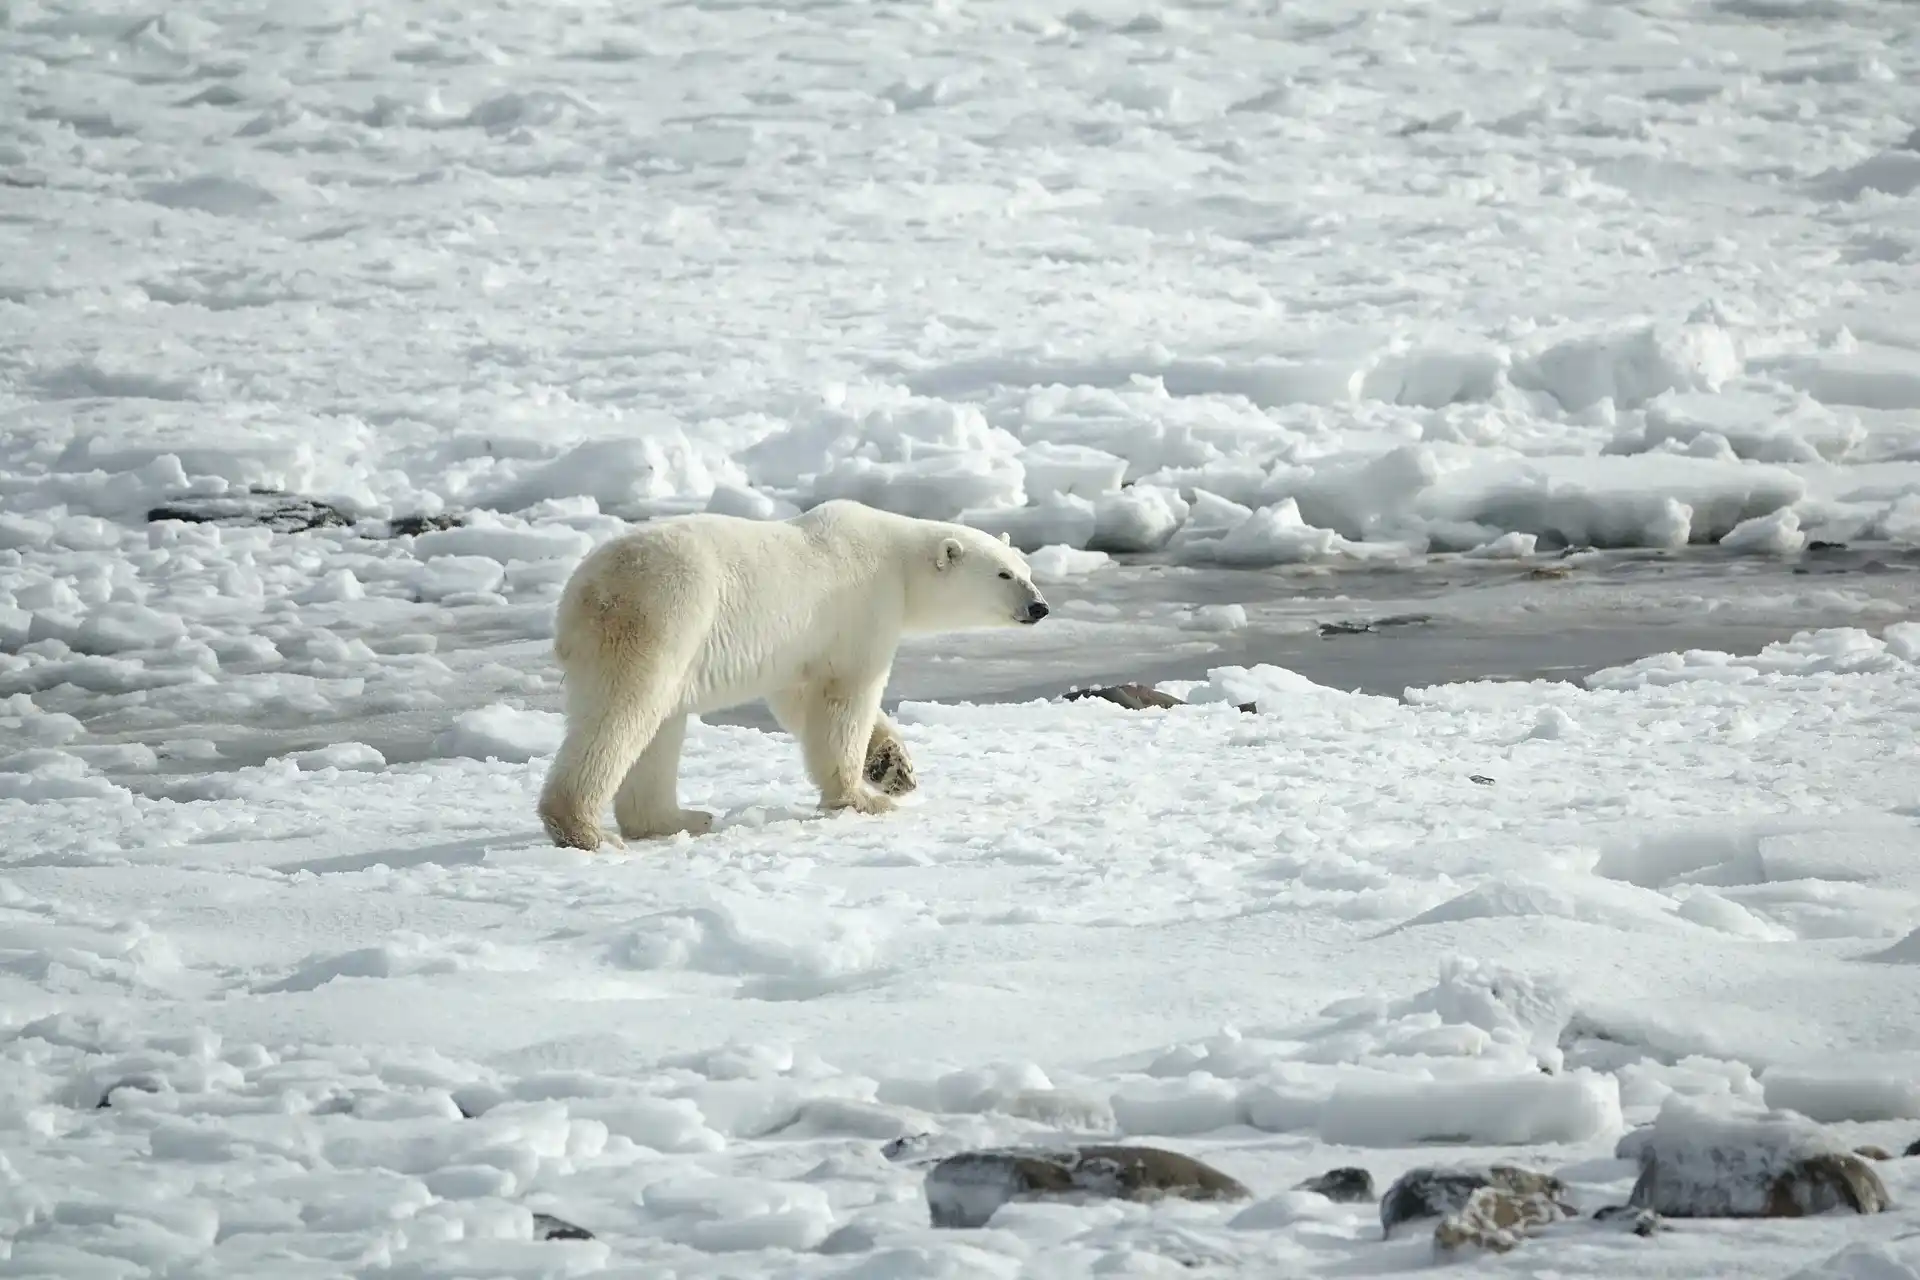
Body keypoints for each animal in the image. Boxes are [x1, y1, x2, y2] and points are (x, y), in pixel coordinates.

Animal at [541, 498, 1052, 852]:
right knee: (623, 714)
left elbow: (800, 699)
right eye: (1004, 575)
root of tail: (583, 592)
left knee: (660, 727)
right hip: (663, 615)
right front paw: (862, 797)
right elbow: (845, 697)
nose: (1040, 607)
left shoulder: (798, 645)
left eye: (1026, 568)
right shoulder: (861, 607)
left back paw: (680, 818)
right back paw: (585, 830)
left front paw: (893, 768)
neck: (898, 561)